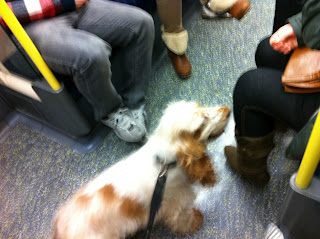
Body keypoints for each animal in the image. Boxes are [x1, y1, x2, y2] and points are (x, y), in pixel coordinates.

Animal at [54, 101, 230, 239]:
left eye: (201, 107)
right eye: (203, 119)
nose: (228, 110)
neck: (165, 163)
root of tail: (59, 228)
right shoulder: (178, 204)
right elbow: (184, 219)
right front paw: (196, 221)